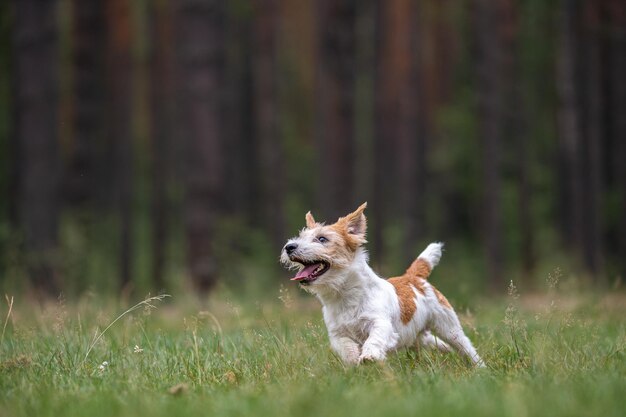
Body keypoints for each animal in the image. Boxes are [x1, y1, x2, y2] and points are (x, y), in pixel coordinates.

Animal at [280, 202, 486, 364]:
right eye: (301, 237)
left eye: (322, 239)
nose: (289, 247)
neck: (345, 295)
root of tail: (413, 277)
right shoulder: (337, 333)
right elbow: (345, 347)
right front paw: (353, 359)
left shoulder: (380, 322)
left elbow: (375, 337)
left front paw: (369, 356)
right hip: (415, 335)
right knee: (430, 340)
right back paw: (445, 349)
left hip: (448, 326)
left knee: (465, 346)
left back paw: (479, 367)